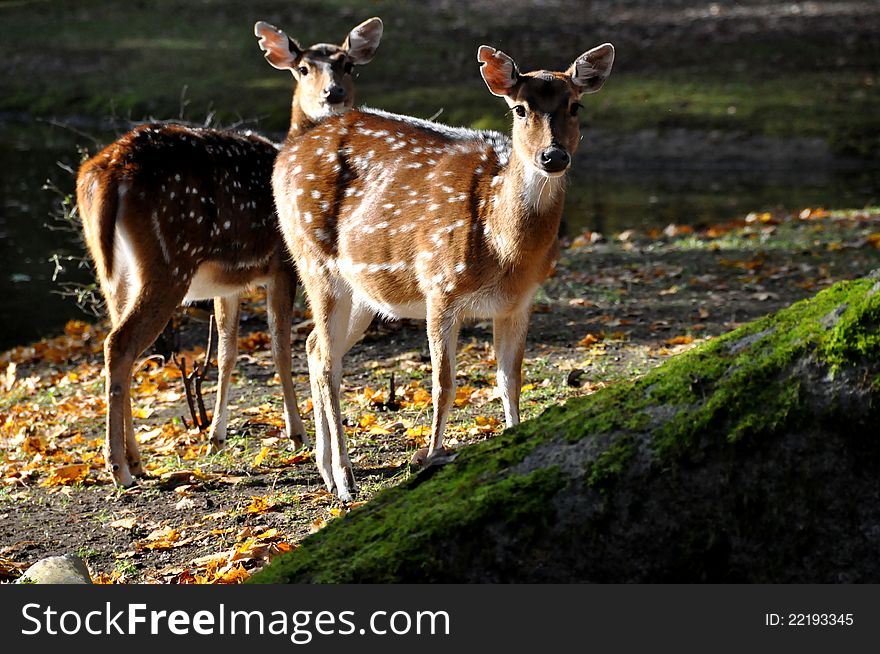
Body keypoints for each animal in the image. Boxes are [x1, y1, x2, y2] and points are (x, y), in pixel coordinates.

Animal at [72, 16, 382, 486]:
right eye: (304, 68)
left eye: (348, 65)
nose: (334, 94)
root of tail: (106, 173)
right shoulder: (282, 265)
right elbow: (279, 345)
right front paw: (295, 432)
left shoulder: (228, 283)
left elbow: (226, 351)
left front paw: (216, 436)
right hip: (169, 261)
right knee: (119, 344)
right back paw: (119, 469)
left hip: (112, 270)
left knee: (117, 343)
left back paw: (138, 461)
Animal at [272, 42, 616, 502]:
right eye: (520, 109)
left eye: (575, 105)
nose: (553, 156)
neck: (504, 248)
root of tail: (289, 147)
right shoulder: (440, 285)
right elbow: (444, 383)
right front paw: (432, 456)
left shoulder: (520, 301)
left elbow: (510, 379)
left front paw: (515, 440)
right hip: (313, 259)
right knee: (327, 361)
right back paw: (345, 480)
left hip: (363, 289)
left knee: (312, 346)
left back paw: (326, 471)